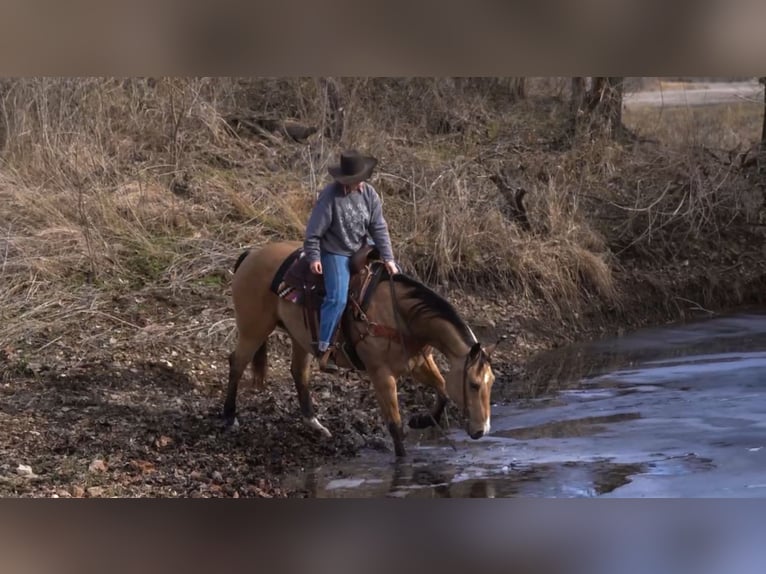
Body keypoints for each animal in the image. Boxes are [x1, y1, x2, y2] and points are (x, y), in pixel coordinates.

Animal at [225, 241, 500, 462]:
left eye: (491, 383)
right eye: (474, 384)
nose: (482, 431)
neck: (400, 315)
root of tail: (251, 254)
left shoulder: (418, 363)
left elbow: (442, 390)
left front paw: (420, 420)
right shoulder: (381, 374)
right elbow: (395, 425)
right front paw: (403, 462)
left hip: (299, 337)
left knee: (298, 373)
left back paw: (315, 425)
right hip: (254, 329)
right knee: (236, 363)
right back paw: (230, 418)